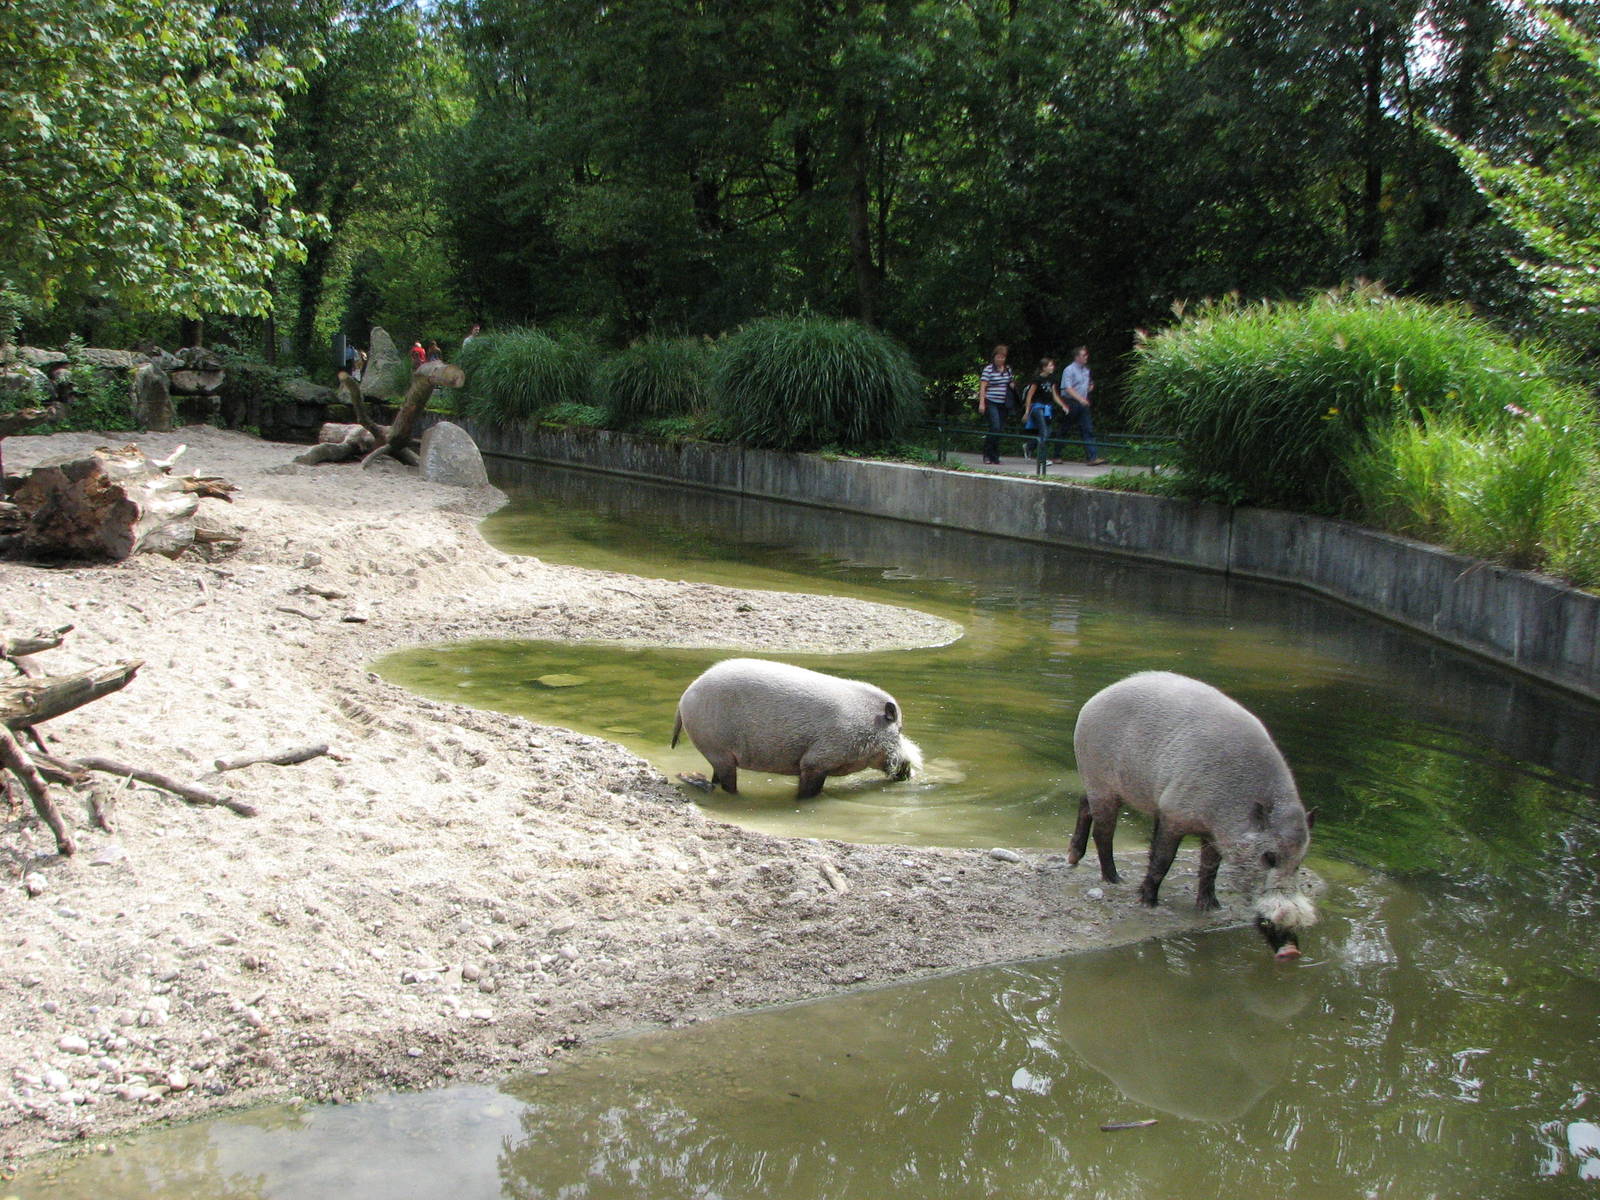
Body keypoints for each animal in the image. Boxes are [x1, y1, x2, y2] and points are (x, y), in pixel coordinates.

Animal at [671, 658, 922, 799]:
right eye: (899, 730)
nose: (909, 771)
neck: (866, 728)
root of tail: (684, 698)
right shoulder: (816, 761)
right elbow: (808, 793)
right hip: (717, 750)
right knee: (727, 783)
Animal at [1069, 671, 1318, 960]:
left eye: (1299, 862)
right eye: (1269, 857)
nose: (1291, 951)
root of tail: (1094, 700)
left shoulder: (1213, 833)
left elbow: (1210, 867)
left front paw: (1212, 907)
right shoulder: (1172, 813)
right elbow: (1162, 860)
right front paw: (1147, 902)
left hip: (1100, 787)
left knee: (1083, 803)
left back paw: (1074, 858)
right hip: (1101, 781)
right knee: (1103, 833)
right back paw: (1115, 879)